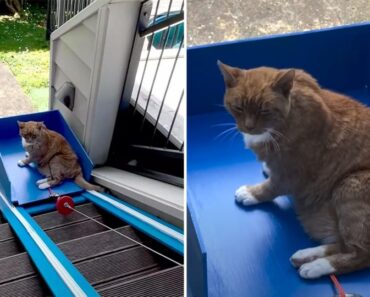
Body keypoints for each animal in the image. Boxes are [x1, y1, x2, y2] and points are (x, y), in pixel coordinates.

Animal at [218, 60, 370, 278]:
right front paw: (267, 168)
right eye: (238, 107)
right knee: (343, 244)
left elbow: (270, 188)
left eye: (265, 111)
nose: (249, 127)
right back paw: (307, 255)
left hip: (349, 184)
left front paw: (251, 193)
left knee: (361, 254)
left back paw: (317, 266)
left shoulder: (291, 174)